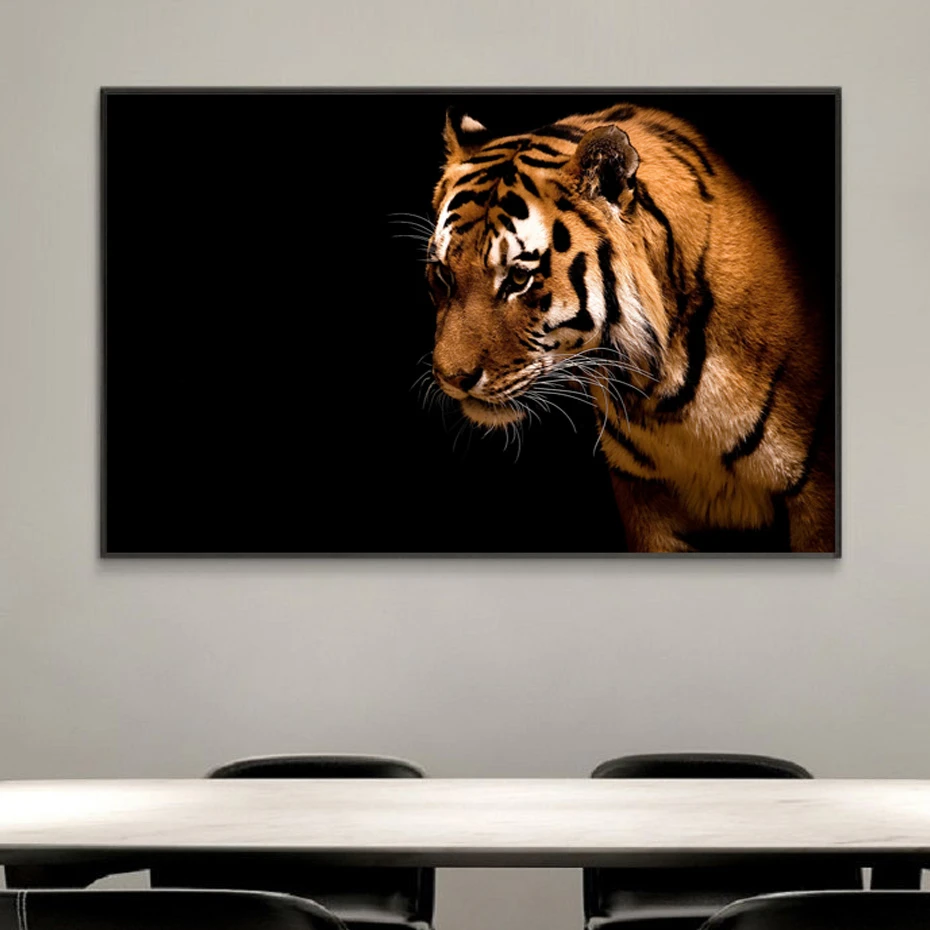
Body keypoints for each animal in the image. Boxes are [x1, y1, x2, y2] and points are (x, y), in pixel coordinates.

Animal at [423, 103, 835, 554]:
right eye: (443, 274)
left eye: (518, 278)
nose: (452, 379)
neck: (661, 396)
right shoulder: (644, 492)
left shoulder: (817, 490)